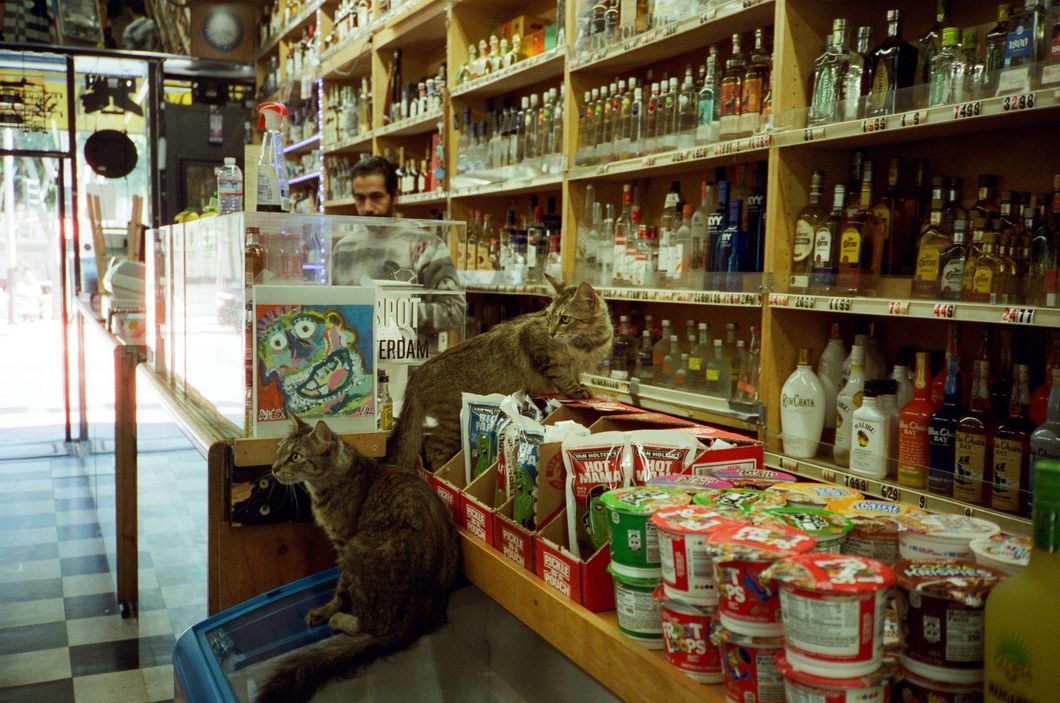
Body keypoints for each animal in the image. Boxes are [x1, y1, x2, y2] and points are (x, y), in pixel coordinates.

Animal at [256, 417, 460, 703]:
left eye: (295, 456)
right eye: (279, 451)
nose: (274, 468)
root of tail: (419, 616)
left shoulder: (343, 546)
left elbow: (341, 592)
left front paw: (328, 611)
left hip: (357, 552)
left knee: (372, 626)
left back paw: (343, 621)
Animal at [387, 277, 614, 470]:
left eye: (565, 319)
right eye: (550, 317)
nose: (551, 332)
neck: (588, 344)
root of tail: (419, 373)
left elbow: (573, 376)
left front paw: (582, 387)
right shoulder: (541, 353)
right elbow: (563, 378)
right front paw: (578, 391)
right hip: (453, 422)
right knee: (433, 448)